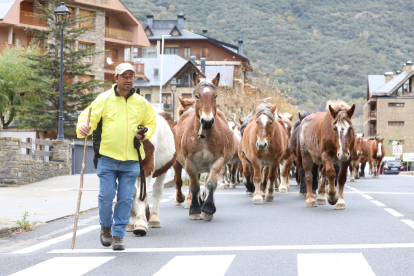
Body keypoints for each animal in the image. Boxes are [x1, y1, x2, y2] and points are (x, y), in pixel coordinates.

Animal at [173, 73, 234, 220]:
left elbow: (211, 183)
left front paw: (207, 209)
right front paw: (194, 209)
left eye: (215, 96)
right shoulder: (189, 162)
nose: (207, 121)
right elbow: (193, 184)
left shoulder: (218, 161)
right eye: (197, 96)